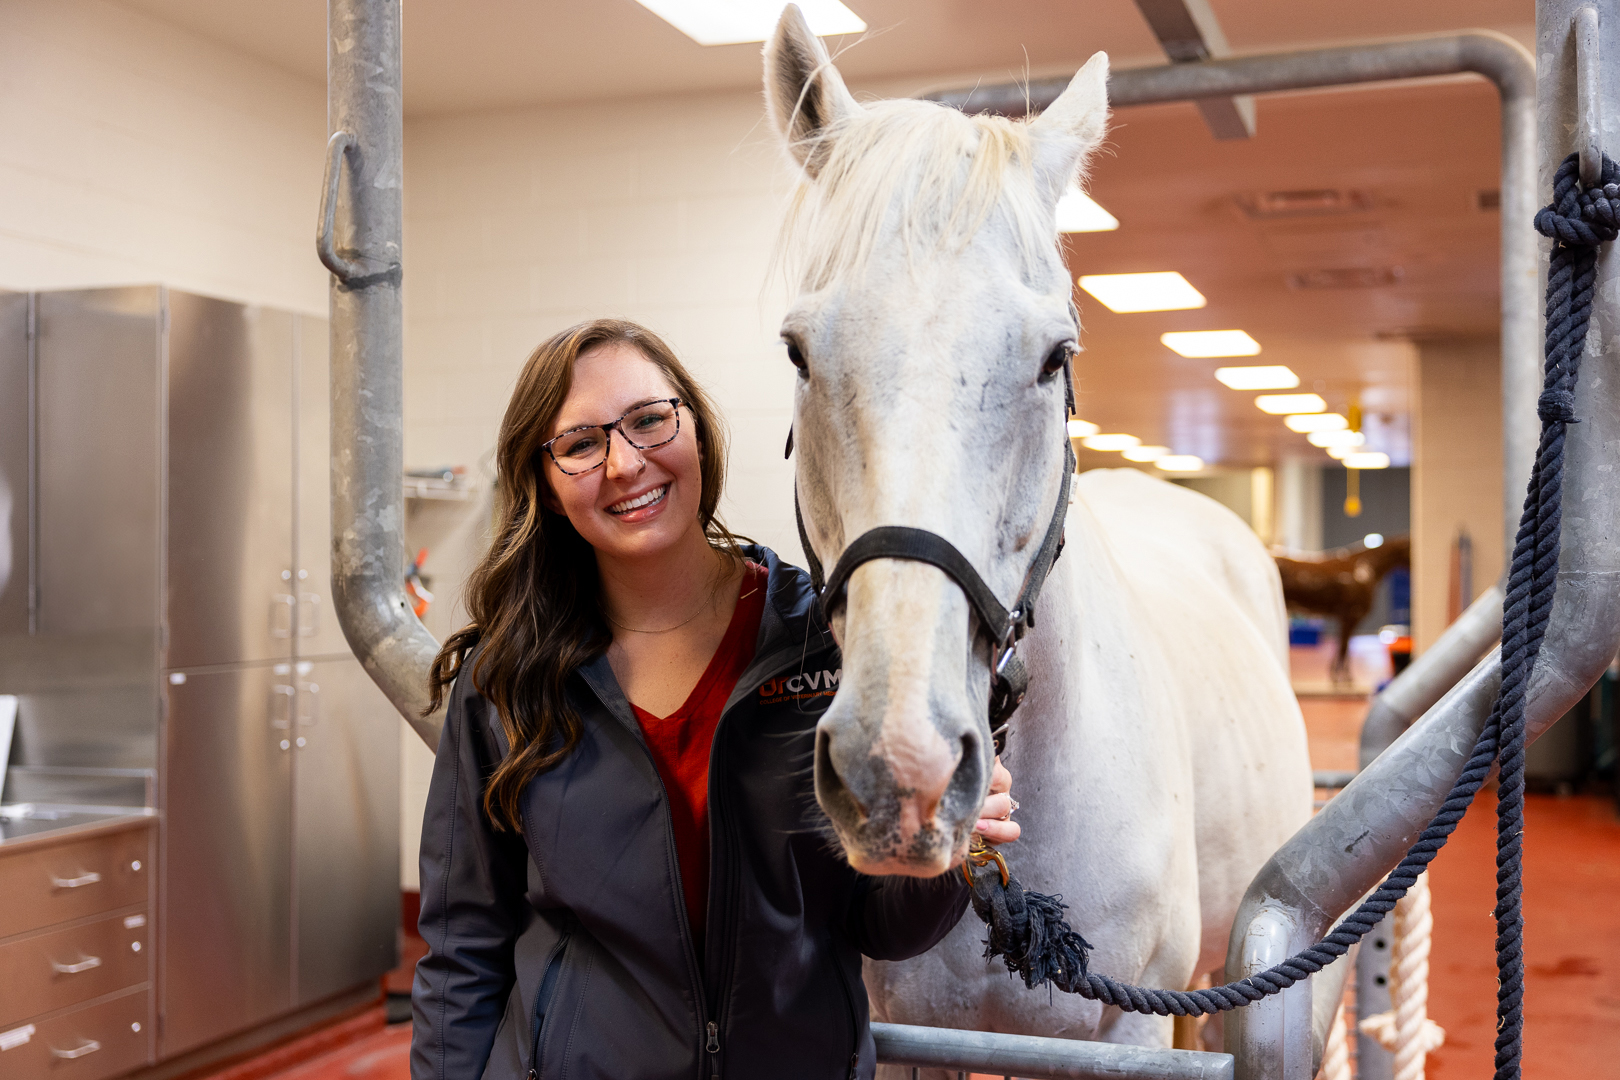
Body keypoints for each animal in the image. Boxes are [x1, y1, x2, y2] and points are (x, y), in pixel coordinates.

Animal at [1270, 537, 1412, 680]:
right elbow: (1344, 647)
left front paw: (1337, 673)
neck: (1366, 567)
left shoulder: (1345, 618)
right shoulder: (1351, 615)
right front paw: (1342, 676)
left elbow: (1343, 646)